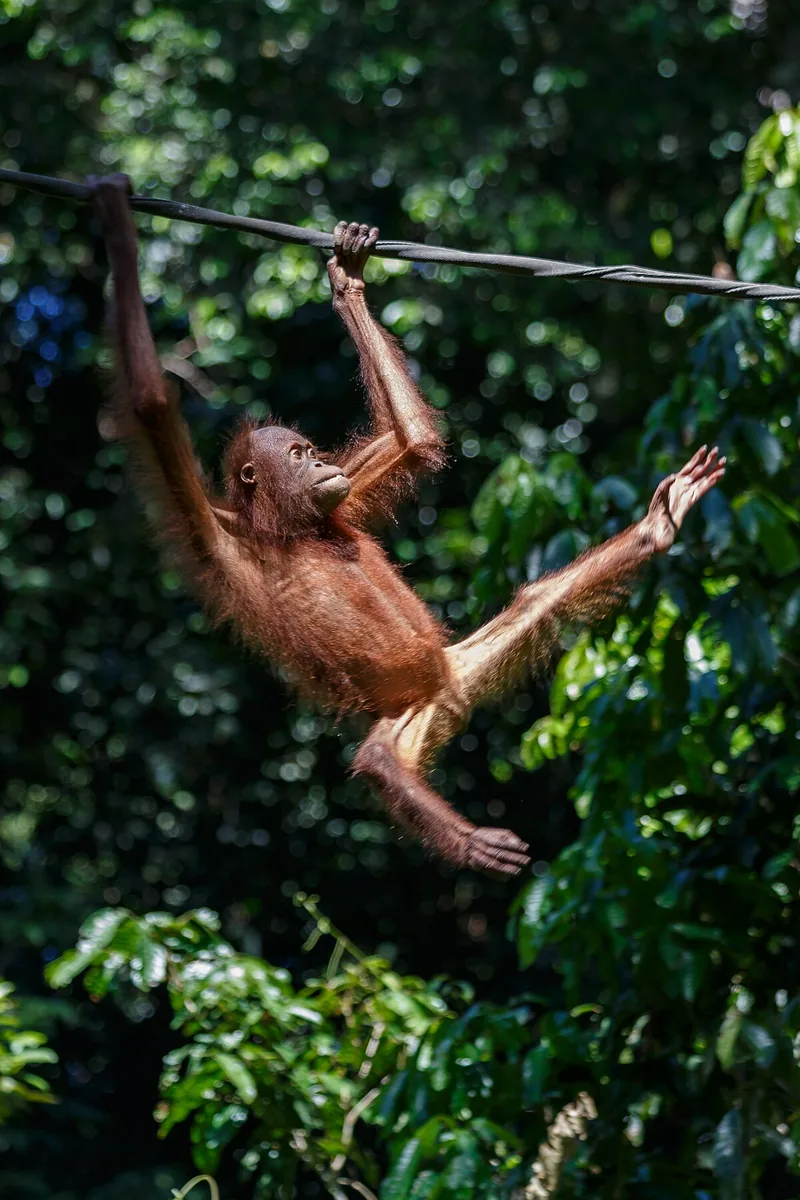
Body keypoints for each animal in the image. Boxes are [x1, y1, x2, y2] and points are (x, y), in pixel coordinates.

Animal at [90, 173, 726, 875]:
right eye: (296, 457)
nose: (319, 464)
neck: (288, 528)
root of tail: (445, 692)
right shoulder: (214, 528)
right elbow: (151, 403)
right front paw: (115, 219)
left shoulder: (344, 497)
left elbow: (415, 442)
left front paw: (347, 275)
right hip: (405, 718)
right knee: (376, 760)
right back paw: (461, 835)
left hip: (458, 669)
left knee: (539, 602)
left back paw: (656, 527)